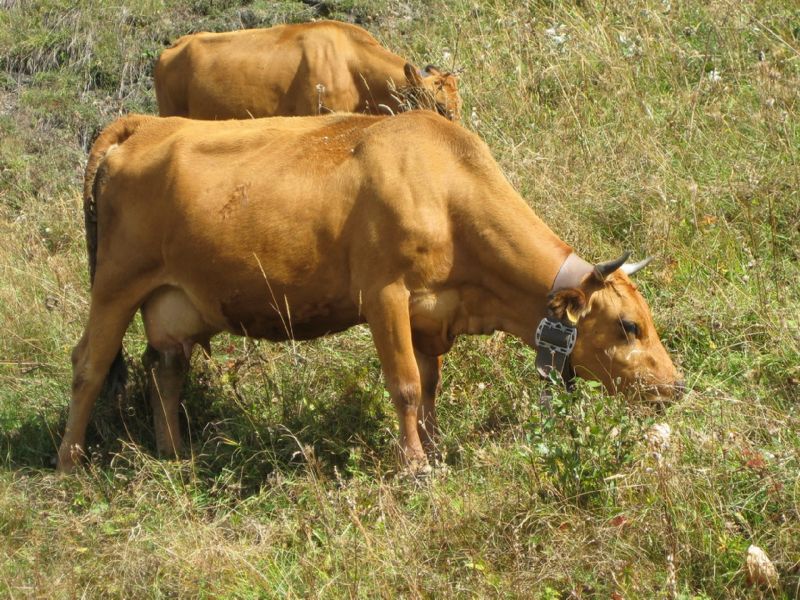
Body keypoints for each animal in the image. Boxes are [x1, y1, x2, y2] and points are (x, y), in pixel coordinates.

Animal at [57, 111, 680, 474]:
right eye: (629, 325)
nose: (674, 386)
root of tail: (144, 123)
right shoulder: (384, 295)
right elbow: (404, 386)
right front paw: (415, 467)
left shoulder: (431, 312)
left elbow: (429, 389)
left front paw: (434, 450)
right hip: (115, 281)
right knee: (89, 364)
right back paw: (71, 465)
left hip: (172, 299)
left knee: (165, 365)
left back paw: (174, 457)